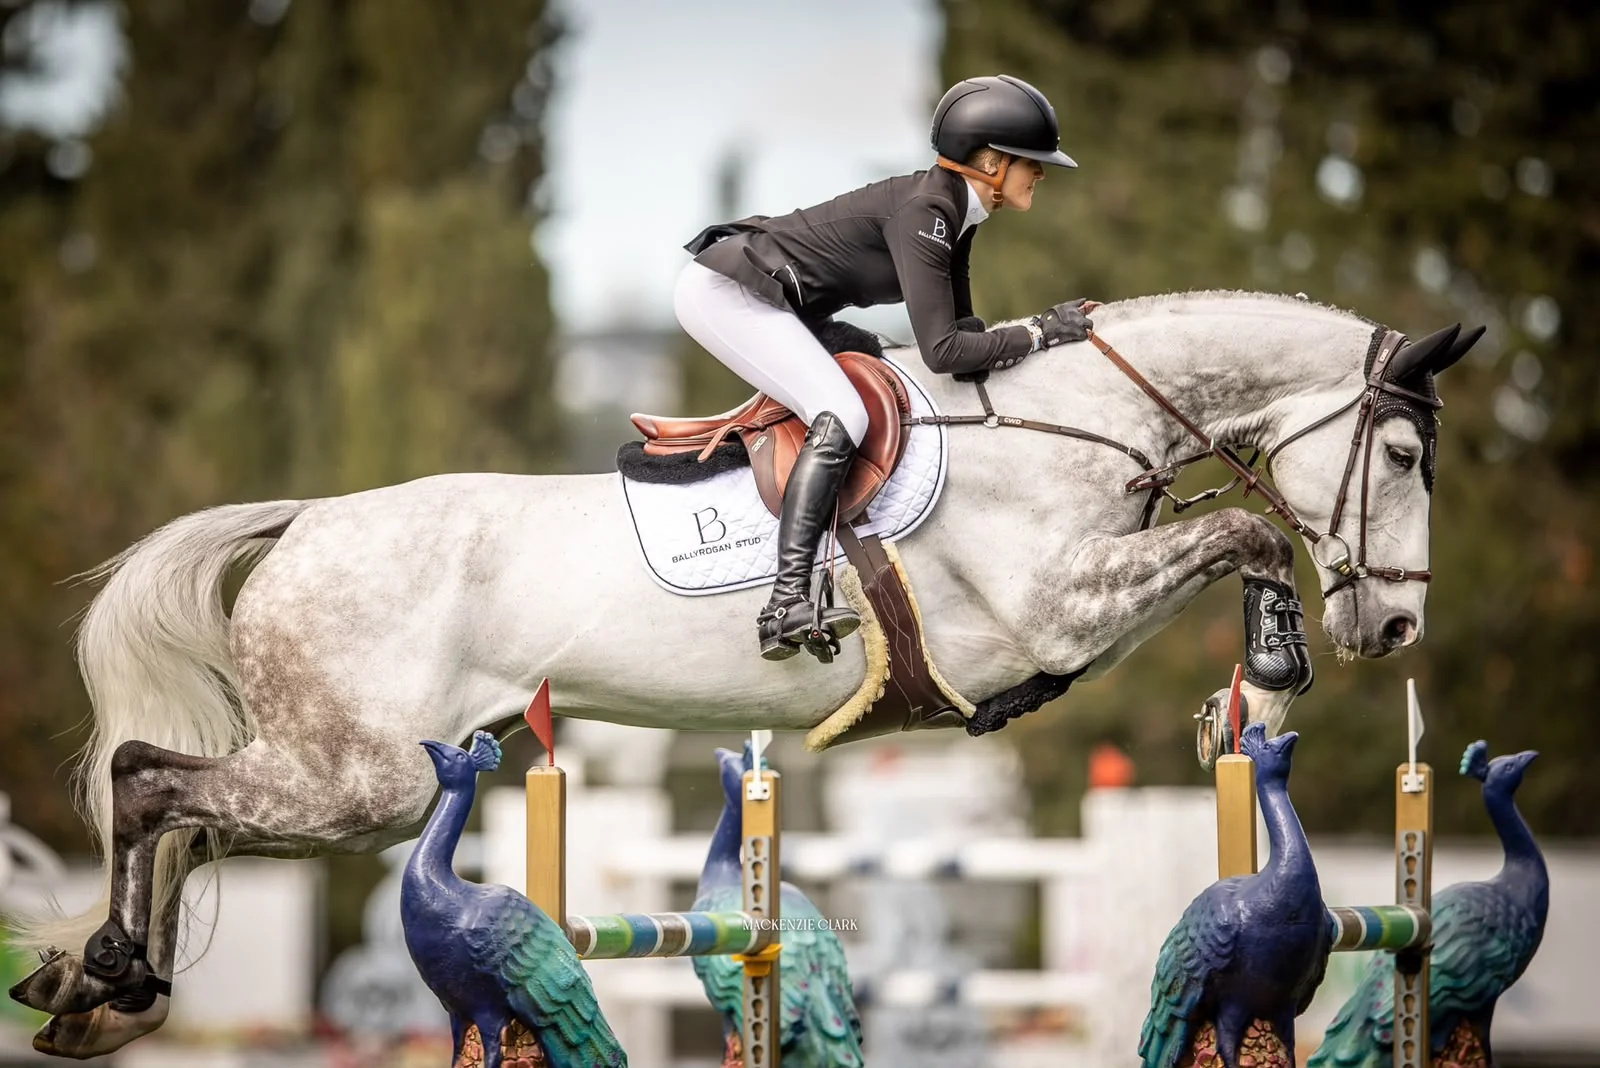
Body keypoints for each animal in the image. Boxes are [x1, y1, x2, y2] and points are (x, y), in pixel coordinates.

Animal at [8, 290, 1477, 1057]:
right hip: (358, 782)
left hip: (343, 781)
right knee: (150, 783)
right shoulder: (1055, 610)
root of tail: (306, 519)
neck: (1069, 422)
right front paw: (1267, 681)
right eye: (1405, 457)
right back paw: (109, 973)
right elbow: (1245, 533)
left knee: (184, 810)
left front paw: (1252, 695)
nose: (1400, 632)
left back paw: (93, 991)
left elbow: (1234, 539)